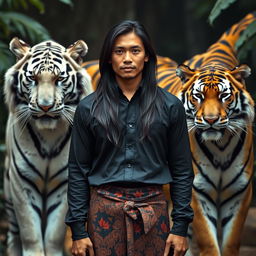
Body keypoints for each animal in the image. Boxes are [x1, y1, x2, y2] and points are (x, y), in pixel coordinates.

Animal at [3, 38, 93, 256]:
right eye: (32, 78)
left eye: (59, 79)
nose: (45, 106)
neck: (49, 134)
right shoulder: (22, 182)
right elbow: (30, 233)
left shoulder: (64, 183)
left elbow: (54, 234)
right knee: (13, 235)